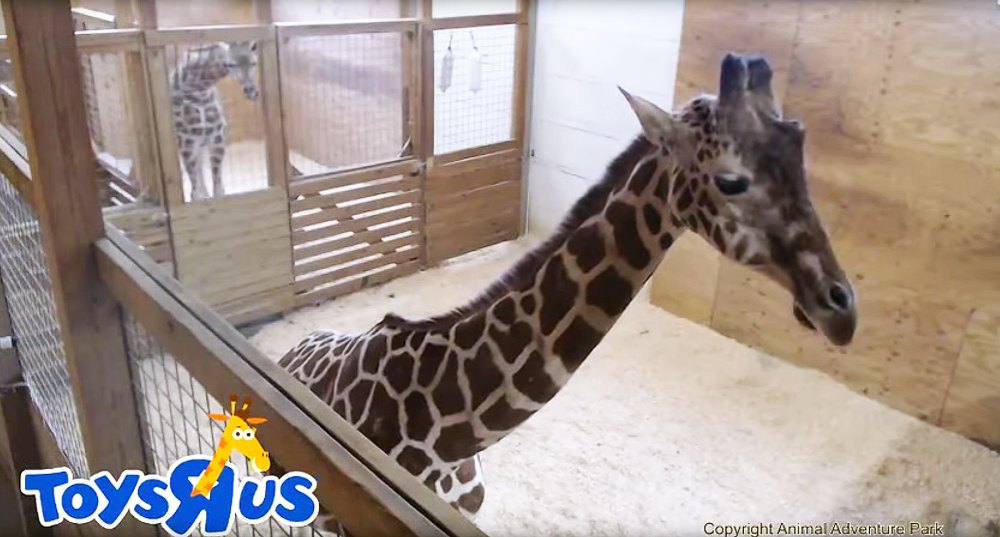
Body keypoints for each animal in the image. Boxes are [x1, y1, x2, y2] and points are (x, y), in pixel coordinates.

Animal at [170, 41, 259, 202]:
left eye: (254, 63)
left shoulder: (216, 135)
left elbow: (218, 188)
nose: (252, 91)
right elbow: (196, 189)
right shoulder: (186, 140)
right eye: (230, 64)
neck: (199, 89)